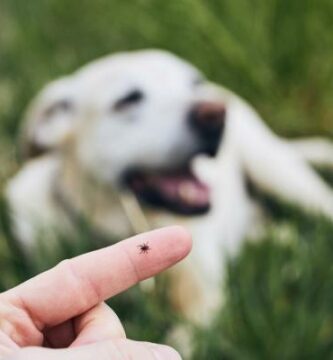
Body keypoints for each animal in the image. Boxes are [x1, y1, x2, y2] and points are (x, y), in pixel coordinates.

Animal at [5, 49, 333, 324]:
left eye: (194, 83)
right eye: (128, 99)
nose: (215, 114)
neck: (117, 224)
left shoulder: (203, 303)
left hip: (276, 170)